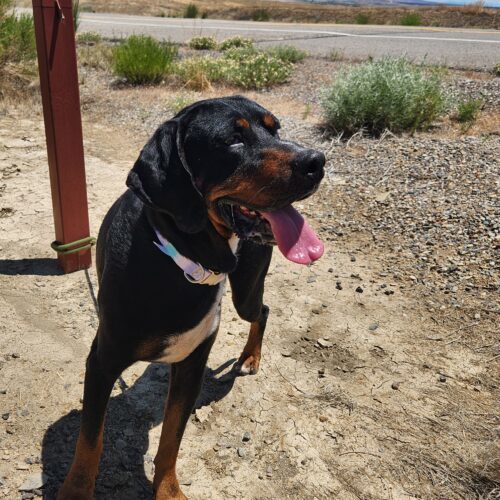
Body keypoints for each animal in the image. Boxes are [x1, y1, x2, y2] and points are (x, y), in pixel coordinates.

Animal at [57, 95, 324, 498]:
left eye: (275, 129)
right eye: (232, 140)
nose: (317, 162)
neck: (182, 260)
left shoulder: (192, 366)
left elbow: (172, 439)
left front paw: (167, 489)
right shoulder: (102, 362)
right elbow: (90, 441)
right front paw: (76, 491)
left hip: (245, 291)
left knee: (261, 310)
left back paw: (250, 357)